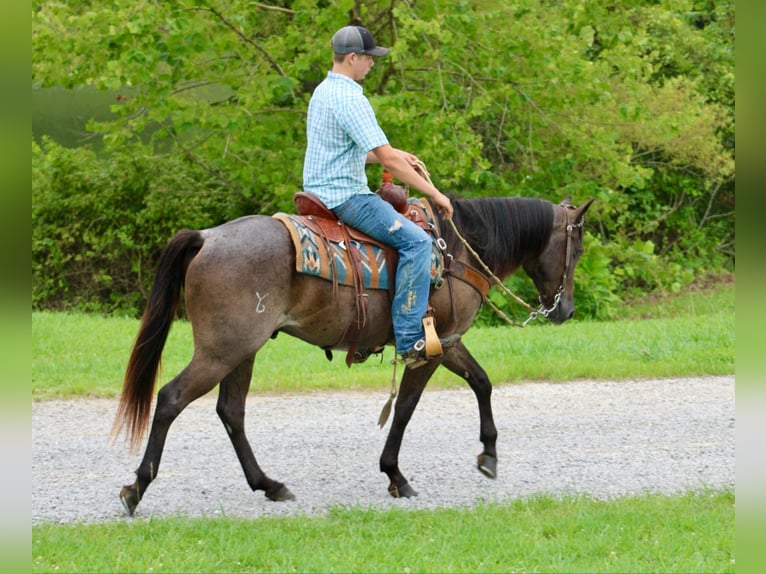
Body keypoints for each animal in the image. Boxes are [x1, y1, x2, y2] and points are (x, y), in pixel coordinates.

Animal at [112, 195, 592, 516]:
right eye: (579, 249)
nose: (565, 310)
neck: (456, 251)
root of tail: (207, 237)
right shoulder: (430, 347)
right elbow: (407, 408)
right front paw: (396, 476)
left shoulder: (448, 342)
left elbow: (481, 381)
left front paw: (488, 455)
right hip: (221, 351)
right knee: (171, 399)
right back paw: (136, 488)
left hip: (241, 352)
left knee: (231, 412)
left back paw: (269, 485)